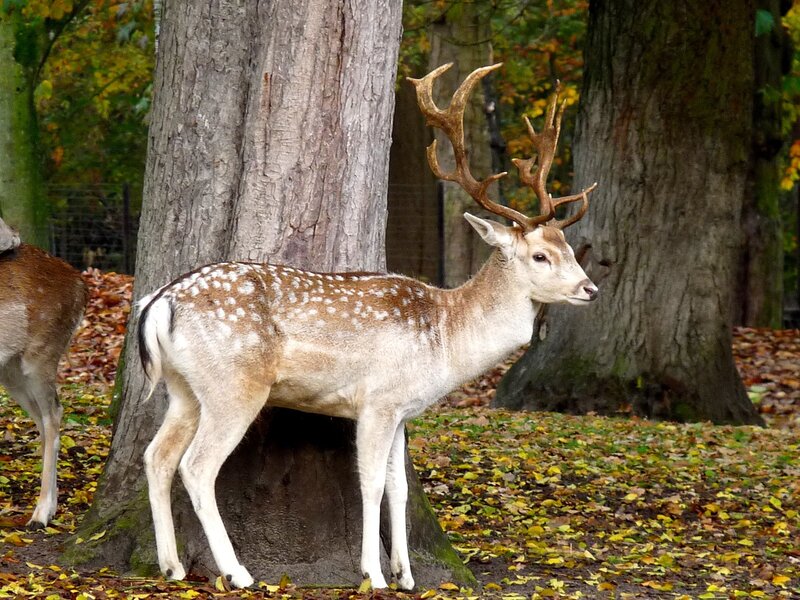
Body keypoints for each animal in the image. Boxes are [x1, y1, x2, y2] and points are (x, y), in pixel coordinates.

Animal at [0, 218, 89, 528]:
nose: (12, 238)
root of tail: (81, 284)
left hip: (41, 355)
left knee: (53, 414)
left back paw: (40, 514)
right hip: (11, 371)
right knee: (42, 417)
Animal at [137, 62, 598, 590]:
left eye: (568, 248)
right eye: (540, 256)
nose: (590, 289)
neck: (446, 337)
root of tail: (158, 302)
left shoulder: (403, 409)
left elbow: (399, 488)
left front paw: (407, 575)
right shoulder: (378, 400)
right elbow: (372, 484)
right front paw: (374, 574)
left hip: (183, 387)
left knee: (157, 456)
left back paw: (172, 566)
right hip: (234, 384)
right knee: (196, 466)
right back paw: (238, 572)